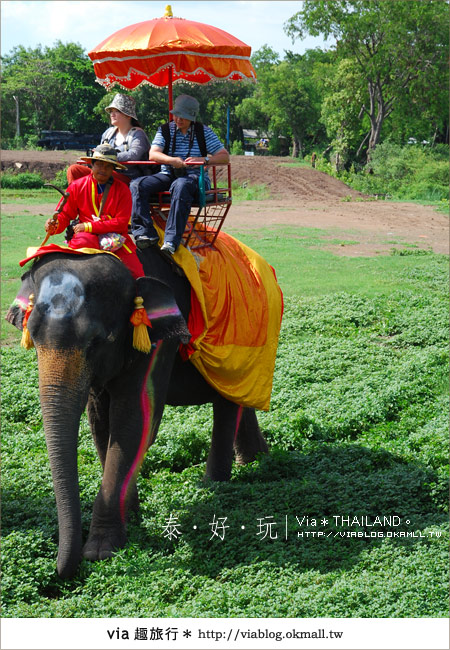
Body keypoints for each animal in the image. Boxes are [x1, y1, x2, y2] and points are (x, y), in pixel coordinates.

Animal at [7, 248, 268, 576]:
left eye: (98, 341)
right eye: (33, 336)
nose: (63, 569)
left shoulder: (158, 341)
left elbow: (134, 418)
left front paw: (100, 551)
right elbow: (101, 422)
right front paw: (131, 516)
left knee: (227, 400)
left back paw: (214, 483)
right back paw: (255, 460)